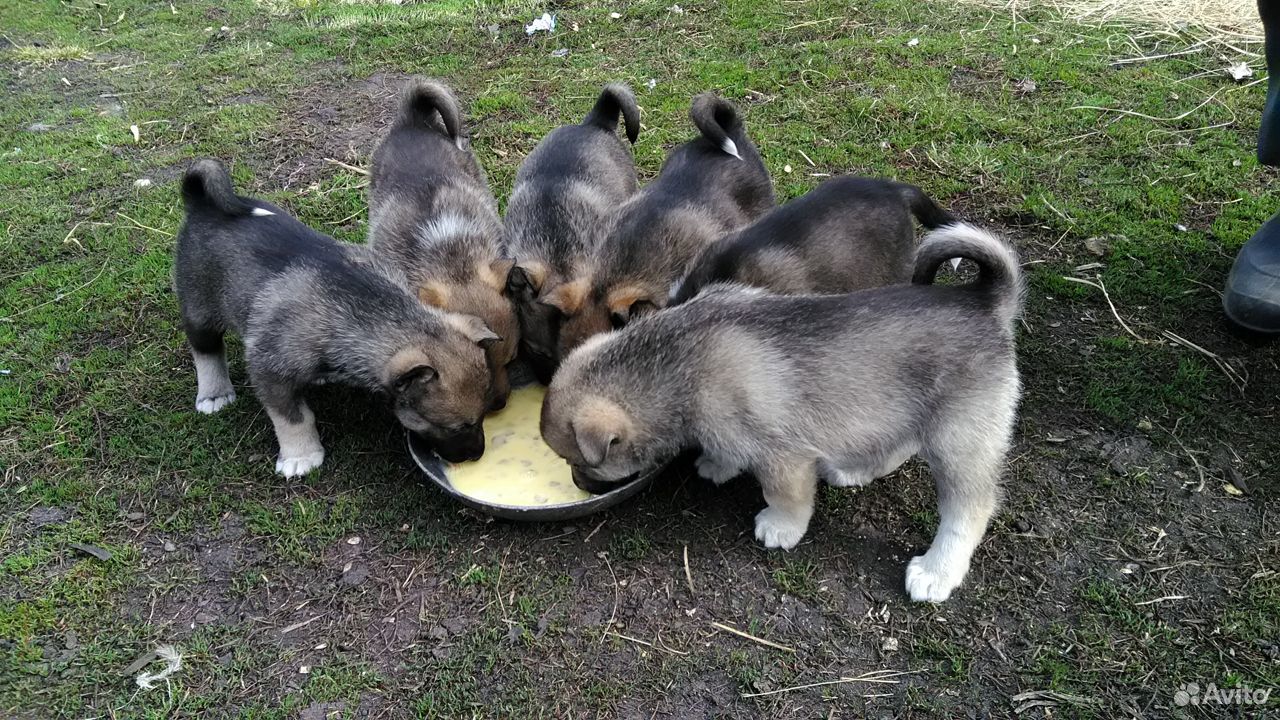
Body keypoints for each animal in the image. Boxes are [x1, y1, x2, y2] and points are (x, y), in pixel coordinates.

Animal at [545, 220, 1024, 599]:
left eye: (579, 461)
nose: (579, 485)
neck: (678, 358)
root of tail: (986, 301)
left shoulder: (783, 458)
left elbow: (785, 498)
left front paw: (780, 528)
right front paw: (719, 464)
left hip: (959, 442)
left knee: (969, 509)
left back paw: (937, 571)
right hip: (899, 406)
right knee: (896, 443)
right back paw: (854, 471)